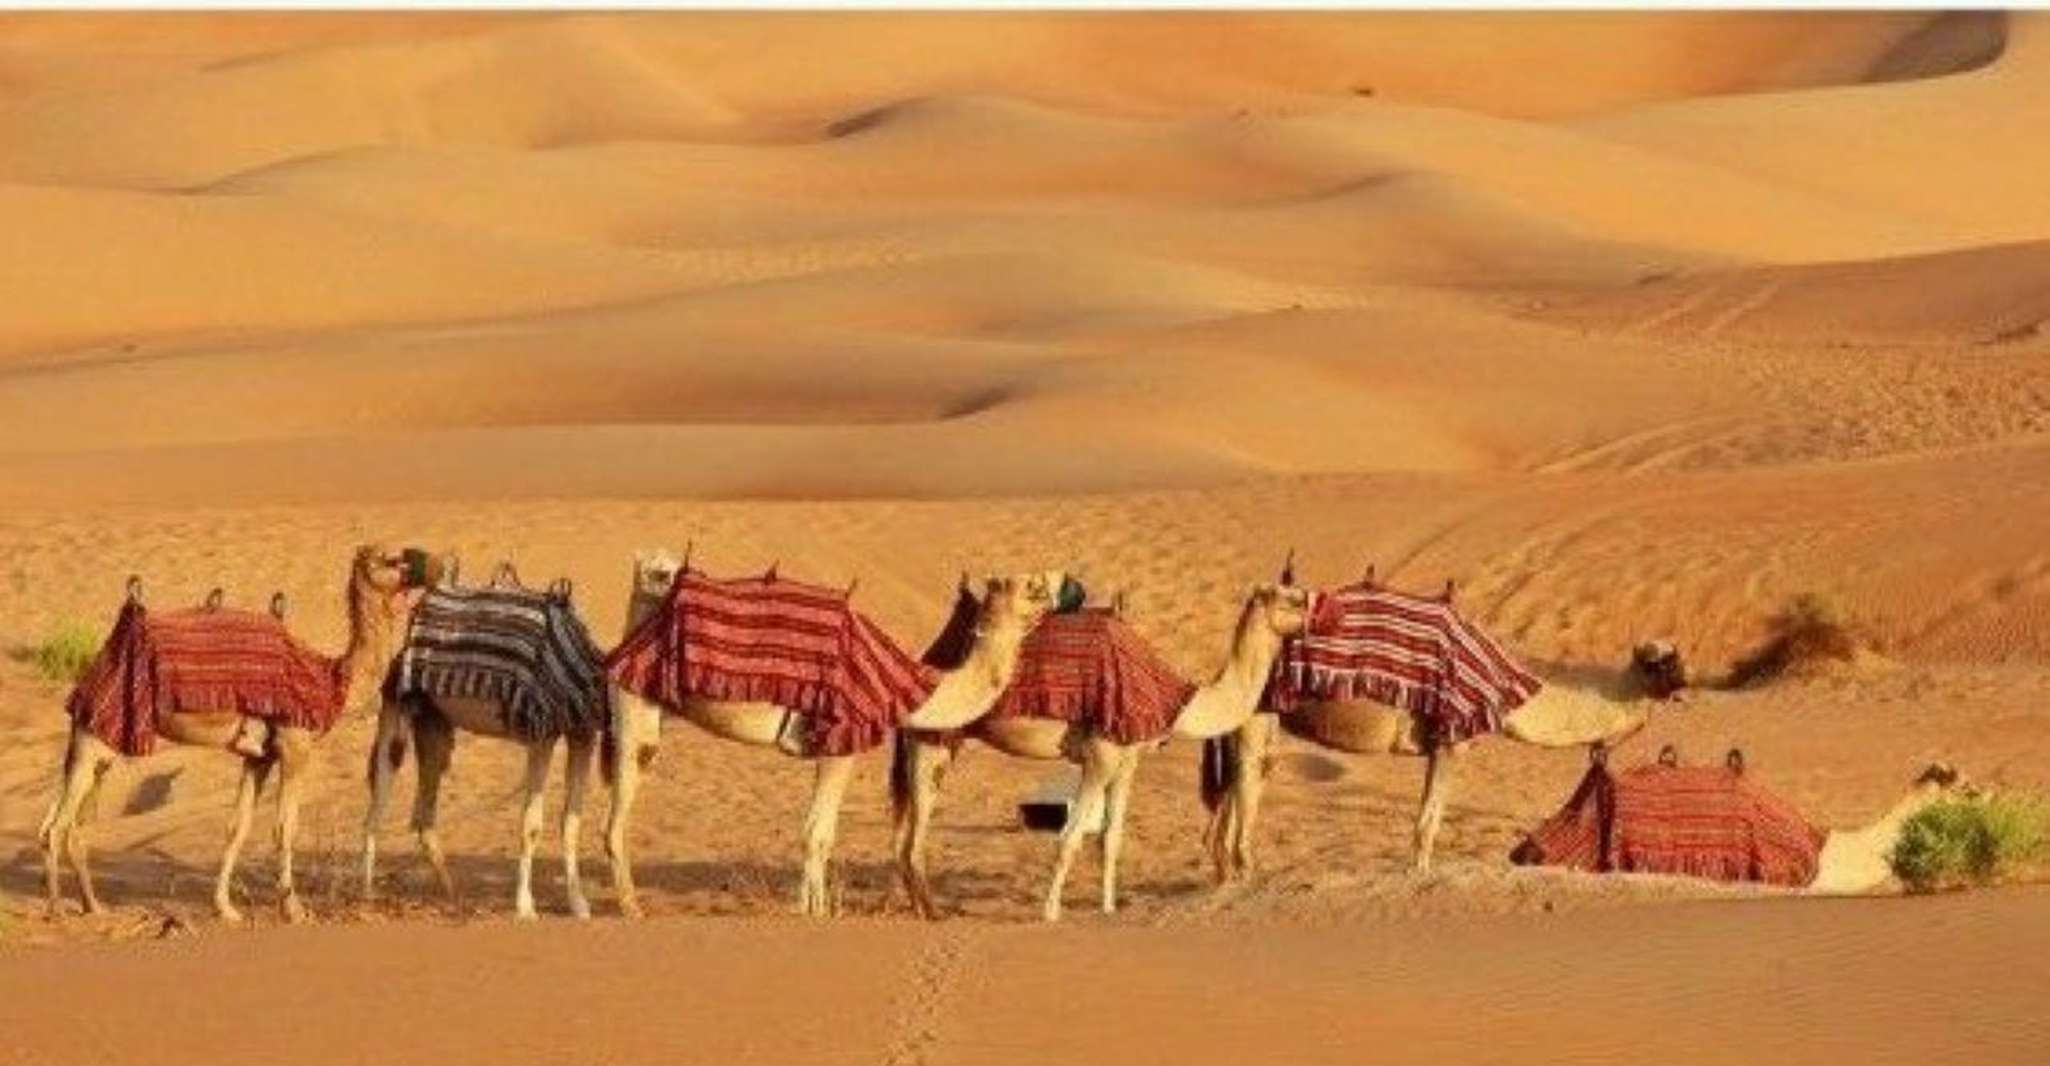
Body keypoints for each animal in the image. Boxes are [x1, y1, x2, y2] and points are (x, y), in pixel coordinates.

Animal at [38, 544, 436, 923]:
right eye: (390, 558)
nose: (430, 567)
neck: (331, 680)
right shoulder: (295, 746)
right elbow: (285, 828)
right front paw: (293, 910)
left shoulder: (259, 756)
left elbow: (237, 827)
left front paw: (225, 909)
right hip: (97, 738)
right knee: (56, 827)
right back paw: (57, 908)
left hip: (102, 743)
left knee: (73, 827)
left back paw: (93, 906)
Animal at [361, 561, 609, 920]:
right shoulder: (543, 734)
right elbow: (531, 824)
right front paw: (525, 906)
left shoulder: (582, 734)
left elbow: (571, 822)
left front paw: (579, 904)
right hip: (397, 711)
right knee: (377, 806)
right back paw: (366, 896)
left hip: (434, 727)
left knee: (423, 817)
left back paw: (453, 895)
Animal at [603, 552, 1059, 918]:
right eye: (1031, 585)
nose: (1058, 588)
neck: (904, 685)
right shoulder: (841, 743)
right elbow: (817, 835)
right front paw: (815, 913)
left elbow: (820, 835)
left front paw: (813, 909)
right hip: (633, 702)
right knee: (615, 821)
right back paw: (632, 908)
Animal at [891, 581, 1312, 922]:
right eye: (1290, 598)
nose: (1312, 607)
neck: (1172, 699)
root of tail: (925, 660)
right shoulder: (1101, 755)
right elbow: (1070, 837)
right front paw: (1051, 911)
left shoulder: (1127, 761)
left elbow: (1111, 839)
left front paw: (1108, 909)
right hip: (933, 740)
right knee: (913, 840)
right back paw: (932, 912)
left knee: (901, 836)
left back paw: (917, 907)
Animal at [1202, 571, 1652, 883]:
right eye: (1659, 663)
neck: (1503, 688)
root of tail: (1218, 669)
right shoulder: (1449, 738)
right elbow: (1428, 823)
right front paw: (1419, 876)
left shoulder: (1440, 745)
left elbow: (1428, 817)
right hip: (1256, 715)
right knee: (1243, 798)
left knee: (1230, 809)